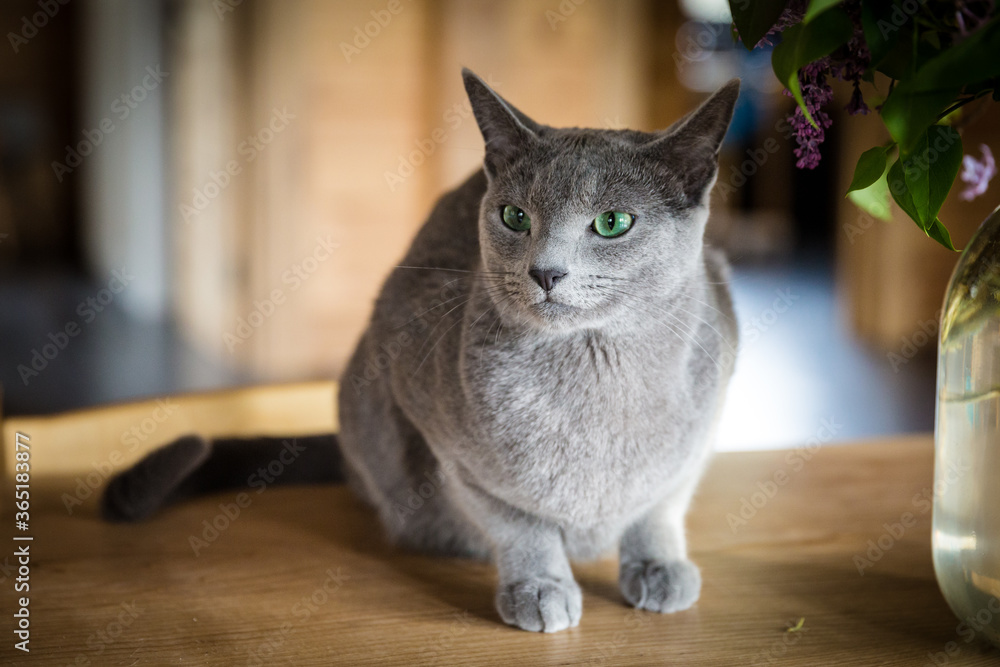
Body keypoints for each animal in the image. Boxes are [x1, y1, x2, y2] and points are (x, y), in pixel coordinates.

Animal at [105, 69, 740, 636]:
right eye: (515, 217)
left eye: (612, 223)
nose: (545, 272)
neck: (595, 379)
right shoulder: (443, 434)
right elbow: (516, 521)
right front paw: (540, 587)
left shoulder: (706, 421)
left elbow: (660, 502)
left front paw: (658, 567)